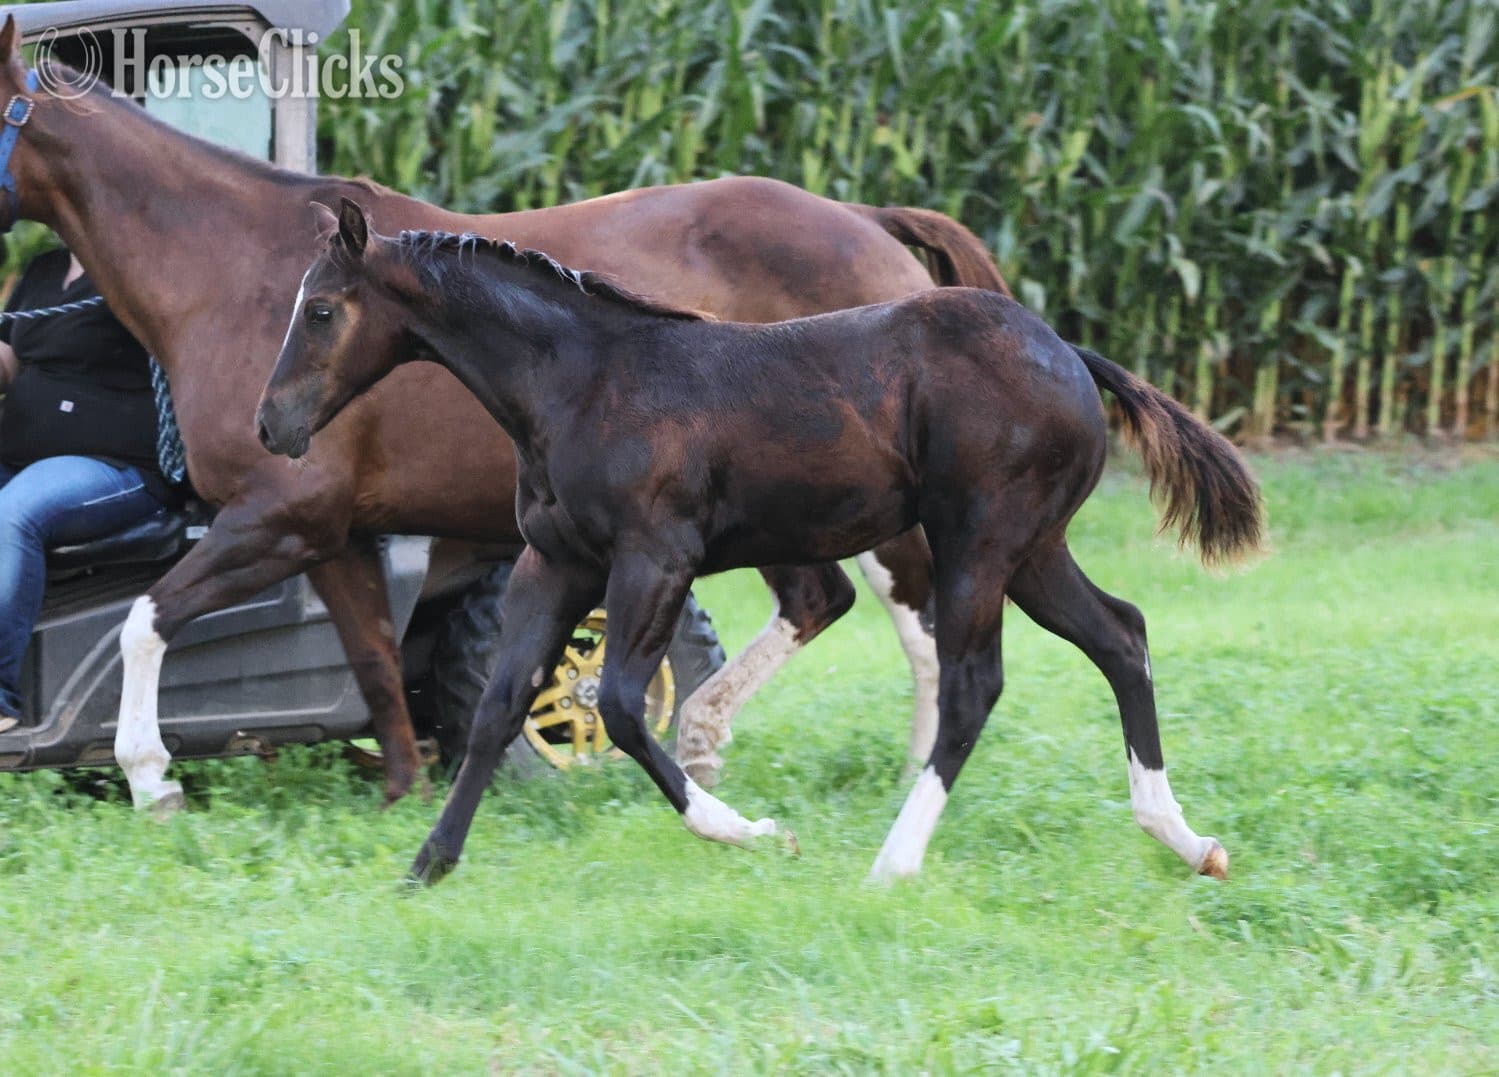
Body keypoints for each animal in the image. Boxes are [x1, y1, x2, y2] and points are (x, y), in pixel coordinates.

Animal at [0, 18, 1013, 810]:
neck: (233, 272)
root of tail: (867, 223)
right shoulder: (329, 533)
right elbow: (373, 661)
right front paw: (403, 792)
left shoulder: (275, 514)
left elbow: (144, 620)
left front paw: (150, 775)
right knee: (827, 601)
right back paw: (710, 745)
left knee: (909, 614)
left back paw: (889, 768)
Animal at [256, 201, 1263, 885]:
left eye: (322, 310)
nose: (271, 425)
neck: (581, 383)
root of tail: (1066, 353)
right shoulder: (555, 560)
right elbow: (501, 704)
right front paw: (427, 862)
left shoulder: (653, 557)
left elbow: (619, 704)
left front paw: (747, 830)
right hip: (1033, 547)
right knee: (1121, 634)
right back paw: (1187, 840)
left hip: (980, 538)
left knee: (974, 682)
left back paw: (892, 862)